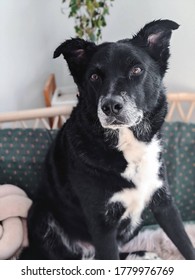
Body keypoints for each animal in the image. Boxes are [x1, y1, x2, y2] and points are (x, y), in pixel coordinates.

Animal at [23, 20, 195, 260]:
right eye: (94, 77)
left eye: (136, 70)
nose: (111, 106)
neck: (127, 143)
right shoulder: (102, 226)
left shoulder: (164, 202)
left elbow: (185, 243)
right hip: (39, 213)